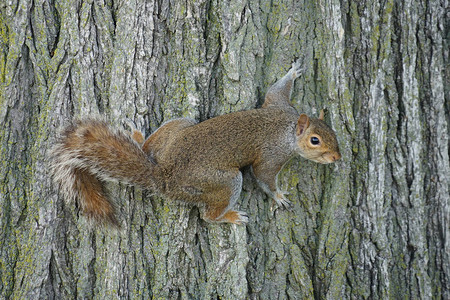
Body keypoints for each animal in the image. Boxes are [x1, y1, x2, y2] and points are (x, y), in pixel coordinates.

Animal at [51, 58, 342, 225]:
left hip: (179, 127)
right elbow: (264, 176)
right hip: (221, 182)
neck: (288, 127)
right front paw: (279, 196)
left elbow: (275, 89)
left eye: (333, 132)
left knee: (148, 148)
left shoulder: (279, 104)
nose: (337, 157)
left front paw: (293, 72)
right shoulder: (273, 153)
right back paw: (231, 217)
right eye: (315, 140)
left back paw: (138, 137)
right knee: (207, 216)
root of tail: (164, 176)